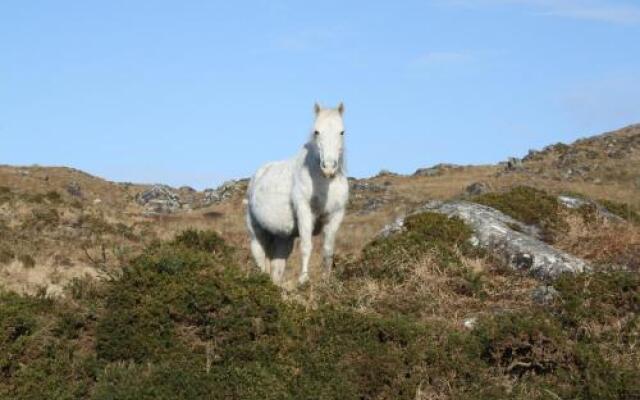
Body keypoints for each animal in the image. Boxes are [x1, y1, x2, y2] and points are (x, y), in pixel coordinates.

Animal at [245, 102, 348, 284]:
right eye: (316, 132)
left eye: (341, 132)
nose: (329, 167)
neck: (323, 183)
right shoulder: (304, 211)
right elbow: (306, 246)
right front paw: (304, 279)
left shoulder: (336, 215)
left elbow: (328, 250)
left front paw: (327, 279)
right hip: (257, 235)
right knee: (260, 259)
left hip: (282, 239)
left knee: (277, 269)